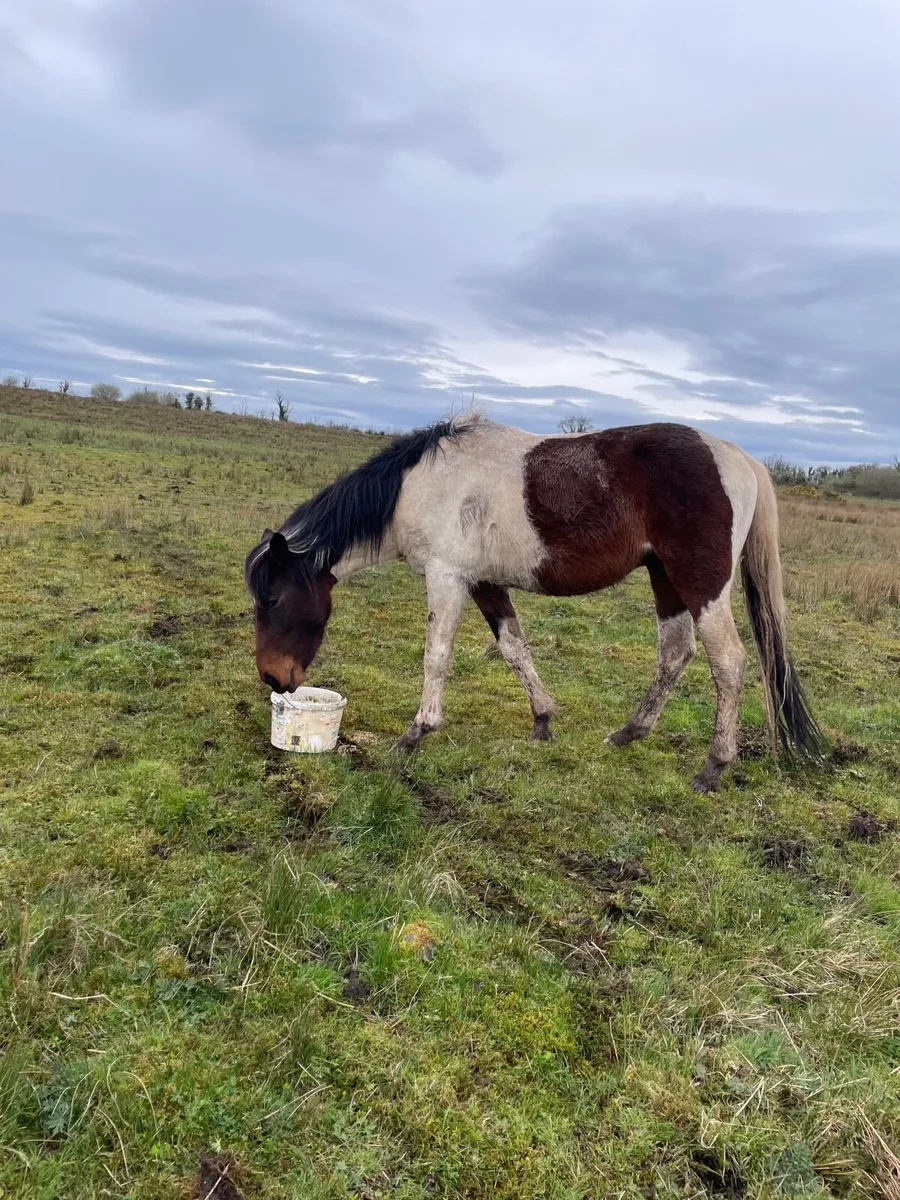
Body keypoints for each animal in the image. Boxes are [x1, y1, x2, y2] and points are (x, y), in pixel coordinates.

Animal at [245, 414, 822, 791]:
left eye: (272, 597)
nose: (273, 678)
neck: (418, 486)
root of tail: (740, 459)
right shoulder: (483, 583)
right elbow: (514, 649)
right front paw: (543, 721)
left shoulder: (447, 577)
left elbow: (436, 656)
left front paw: (417, 732)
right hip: (666, 579)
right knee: (676, 654)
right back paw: (630, 733)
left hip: (701, 585)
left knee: (729, 662)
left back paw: (714, 766)